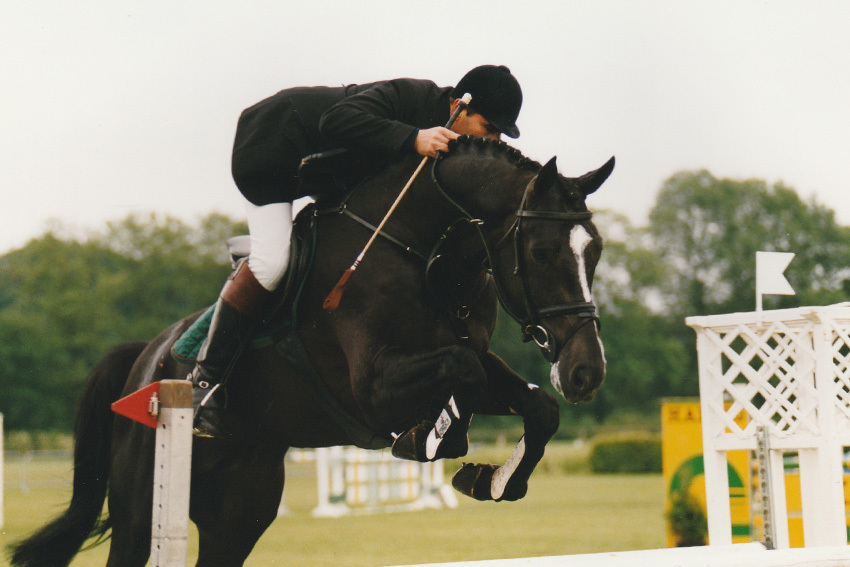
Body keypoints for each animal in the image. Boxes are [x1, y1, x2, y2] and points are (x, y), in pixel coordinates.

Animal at [9, 135, 614, 567]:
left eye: (597, 250)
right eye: (540, 251)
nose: (586, 372)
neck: (425, 251)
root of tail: (146, 359)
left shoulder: (476, 359)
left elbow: (536, 404)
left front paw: (493, 479)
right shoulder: (374, 387)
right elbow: (459, 373)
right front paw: (436, 438)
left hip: (239, 512)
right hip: (141, 509)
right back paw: (205, 397)